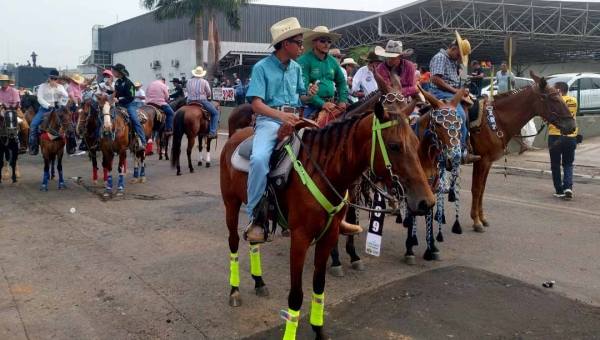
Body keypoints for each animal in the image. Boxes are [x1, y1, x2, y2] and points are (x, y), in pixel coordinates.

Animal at [218, 98, 434, 340]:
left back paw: (259, 282)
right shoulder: (300, 238)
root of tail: (235, 136)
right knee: (234, 242)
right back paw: (235, 291)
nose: (426, 202)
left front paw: (319, 330)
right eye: (394, 145)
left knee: (254, 241)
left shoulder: (329, 235)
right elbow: (296, 294)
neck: (323, 171)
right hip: (231, 204)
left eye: (416, 143)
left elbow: (319, 285)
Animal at [466, 71, 580, 231]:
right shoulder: (481, 161)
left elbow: (481, 189)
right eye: (556, 99)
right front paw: (476, 222)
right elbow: (476, 189)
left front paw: (482, 218)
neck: (494, 122)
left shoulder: (487, 162)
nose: (572, 126)